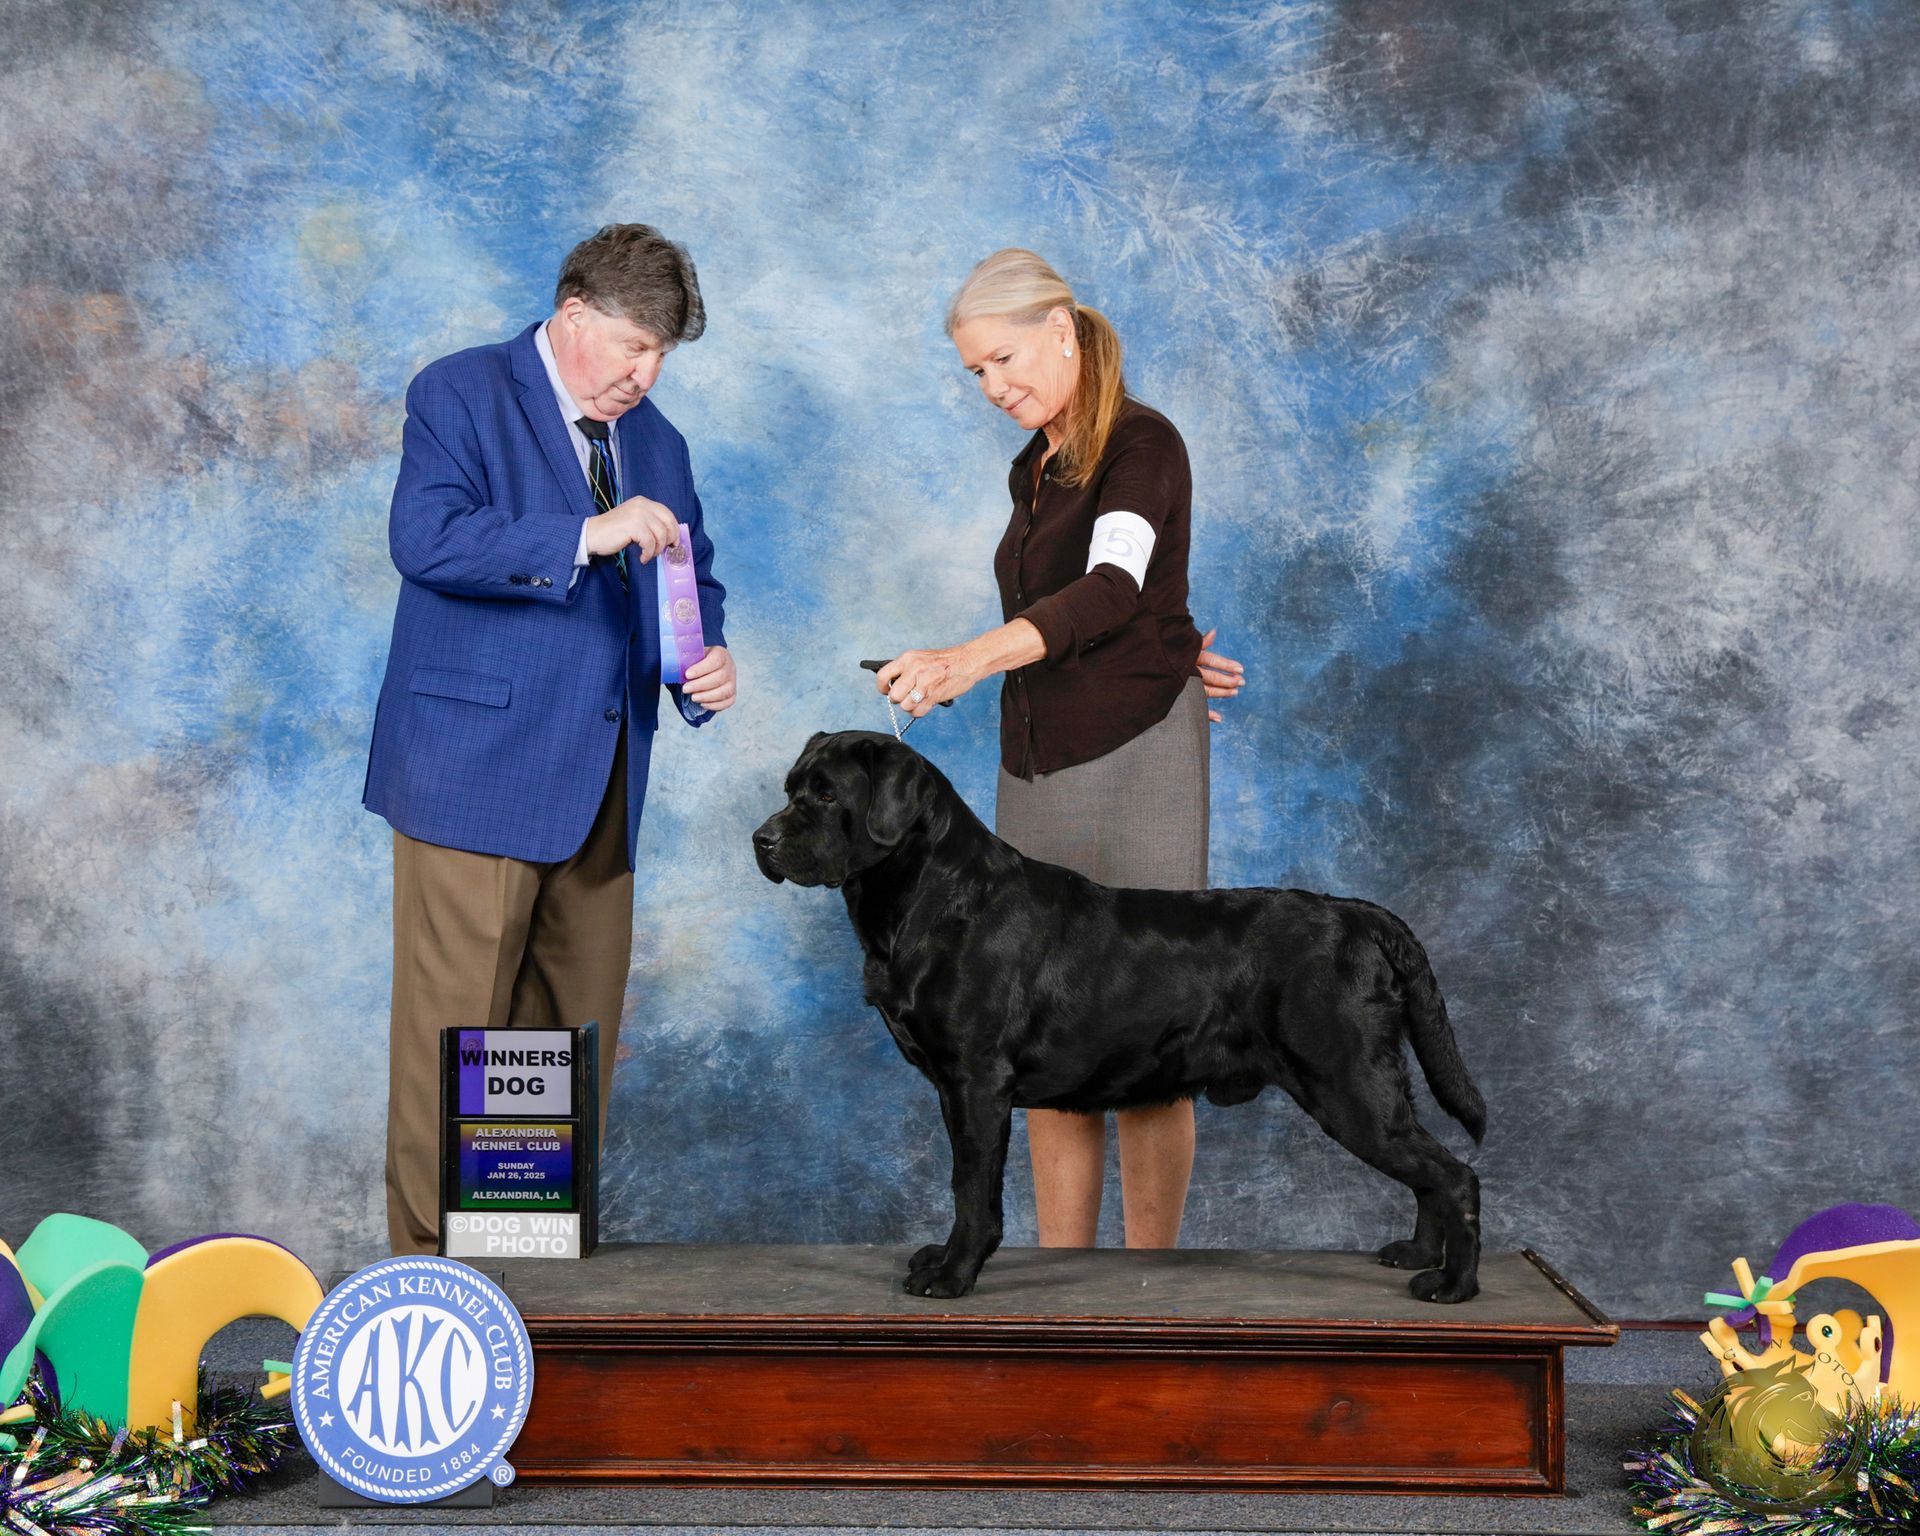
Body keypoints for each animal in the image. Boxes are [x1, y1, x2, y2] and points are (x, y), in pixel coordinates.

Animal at [752, 730, 1486, 1303]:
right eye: (791, 788)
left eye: (826, 795)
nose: (761, 840)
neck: (930, 896)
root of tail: (1357, 915)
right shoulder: (959, 1089)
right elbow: (972, 1184)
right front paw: (948, 1259)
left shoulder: (976, 1082)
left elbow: (971, 1186)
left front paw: (952, 1274)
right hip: (1371, 1083)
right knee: (1429, 1173)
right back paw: (1418, 1255)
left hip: (1347, 1081)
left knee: (1455, 1175)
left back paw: (1451, 1286)